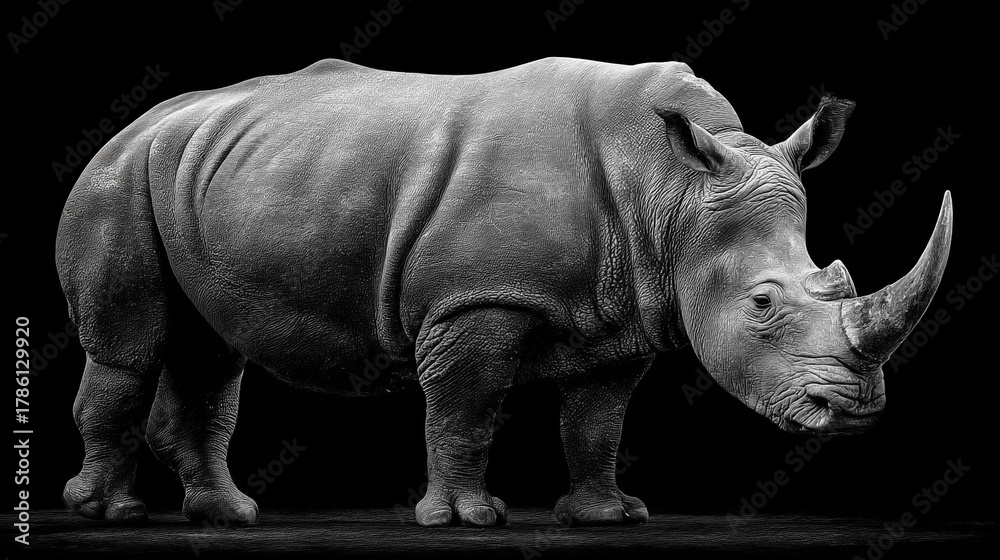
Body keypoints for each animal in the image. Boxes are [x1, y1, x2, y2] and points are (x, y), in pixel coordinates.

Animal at [56, 57, 952, 527]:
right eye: (764, 305)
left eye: (832, 276)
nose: (858, 410)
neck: (671, 191)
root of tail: (140, 123)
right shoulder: (478, 298)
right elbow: (467, 405)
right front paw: (466, 519)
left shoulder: (630, 308)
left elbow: (597, 418)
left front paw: (608, 515)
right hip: (115, 179)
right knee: (129, 346)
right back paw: (110, 515)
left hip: (201, 172)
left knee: (210, 351)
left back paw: (229, 514)